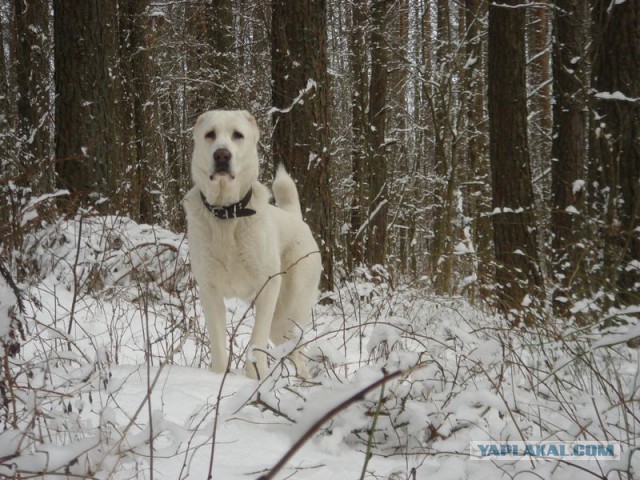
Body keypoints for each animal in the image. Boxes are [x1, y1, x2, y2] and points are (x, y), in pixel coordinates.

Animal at [182, 109, 322, 378]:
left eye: (237, 135)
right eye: (210, 134)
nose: (222, 155)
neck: (227, 214)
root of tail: (295, 218)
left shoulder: (267, 288)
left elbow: (256, 339)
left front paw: (256, 375)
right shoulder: (209, 291)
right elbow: (218, 342)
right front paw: (217, 377)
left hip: (293, 309)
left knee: (297, 353)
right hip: (279, 323)